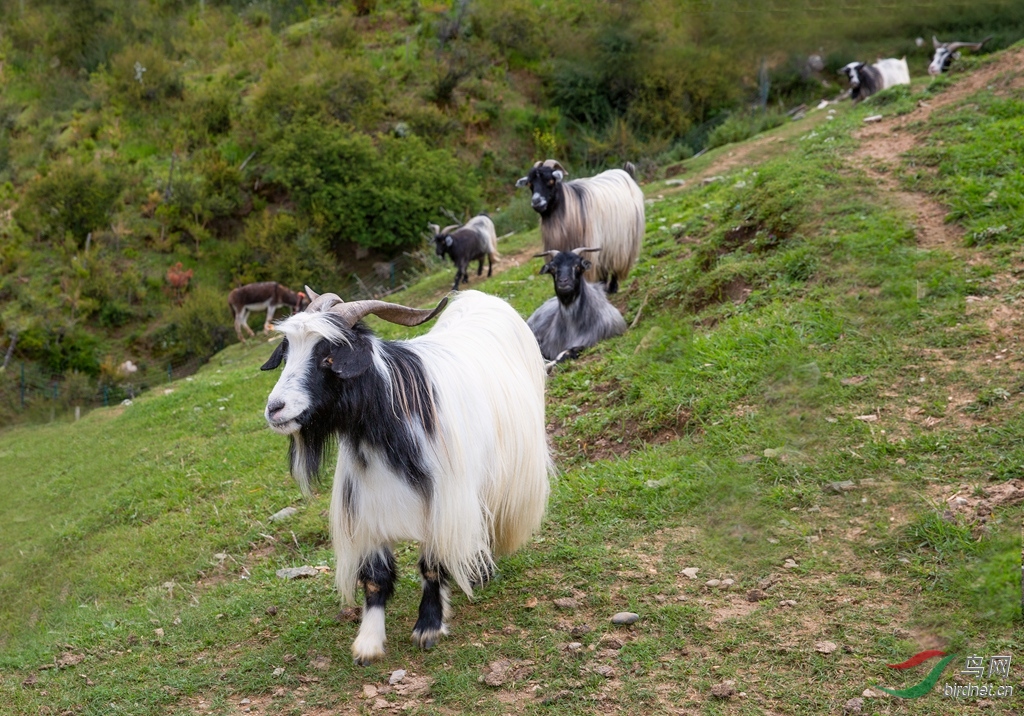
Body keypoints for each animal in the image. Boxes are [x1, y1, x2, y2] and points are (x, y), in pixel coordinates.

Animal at [264, 286, 552, 667]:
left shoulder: (443, 502)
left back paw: (481, 571)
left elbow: (432, 566)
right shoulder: (367, 508)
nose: (275, 408)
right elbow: (375, 577)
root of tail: (479, 297)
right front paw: (368, 642)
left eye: (328, 356)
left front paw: (428, 627)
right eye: (286, 354)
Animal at [516, 160, 643, 295]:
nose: (536, 203)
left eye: (550, 181)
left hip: (623, 242)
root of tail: (626, 173)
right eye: (530, 184)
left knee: (615, 264)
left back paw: (612, 287)